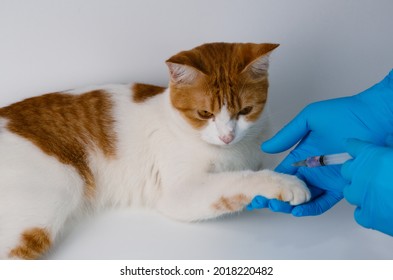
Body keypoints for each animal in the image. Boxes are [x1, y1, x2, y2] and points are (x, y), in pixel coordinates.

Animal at [0, 42, 310, 260]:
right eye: (204, 113)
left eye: (245, 110)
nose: (227, 136)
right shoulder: (180, 193)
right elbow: (238, 180)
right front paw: (285, 183)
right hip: (52, 197)